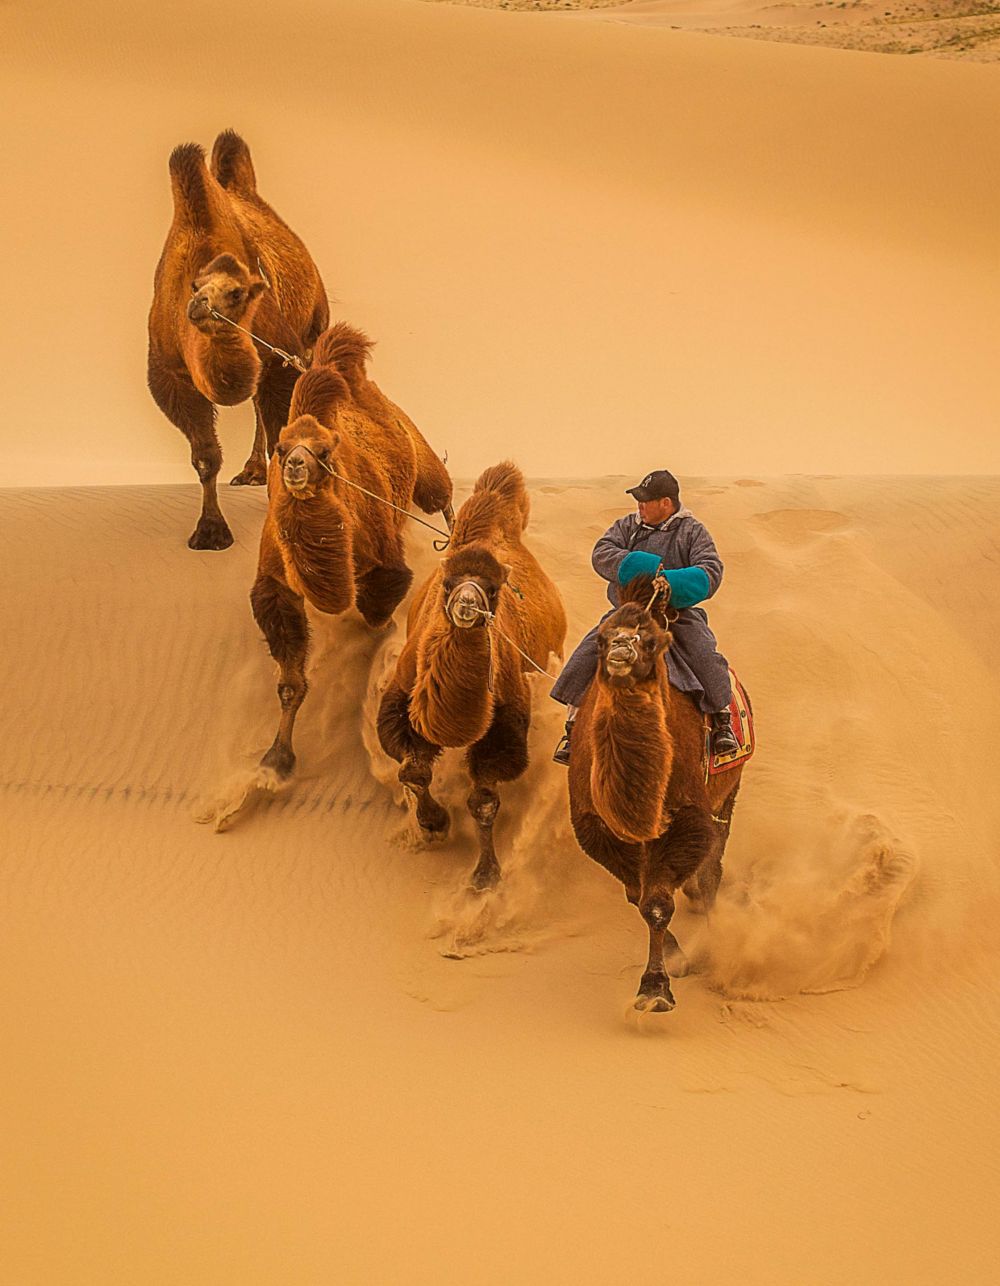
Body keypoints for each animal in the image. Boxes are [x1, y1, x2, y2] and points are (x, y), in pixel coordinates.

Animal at [147, 130, 327, 547]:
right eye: (196, 287)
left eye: (239, 292)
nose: (200, 306)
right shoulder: (169, 376)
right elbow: (204, 456)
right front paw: (210, 531)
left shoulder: (282, 358)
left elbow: (283, 436)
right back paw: (251, 472)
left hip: (315, 329)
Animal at [246, 326, 455, 792]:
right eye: (281, 448)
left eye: (324, 452)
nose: (296, 466)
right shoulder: (277, 585)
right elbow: (290, 682)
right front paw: (275, 762)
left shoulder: (384, 569)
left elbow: (376, 615)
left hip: (422, 461)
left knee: (443, 493)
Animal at [375, 462, 565, 895]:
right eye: (448, 583)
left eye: (493, 590)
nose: (466, 604)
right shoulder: (401, 704)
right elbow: (413, 771)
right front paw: (433, 823)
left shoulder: (505, 726)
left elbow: (483, 801)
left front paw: (486, 873)